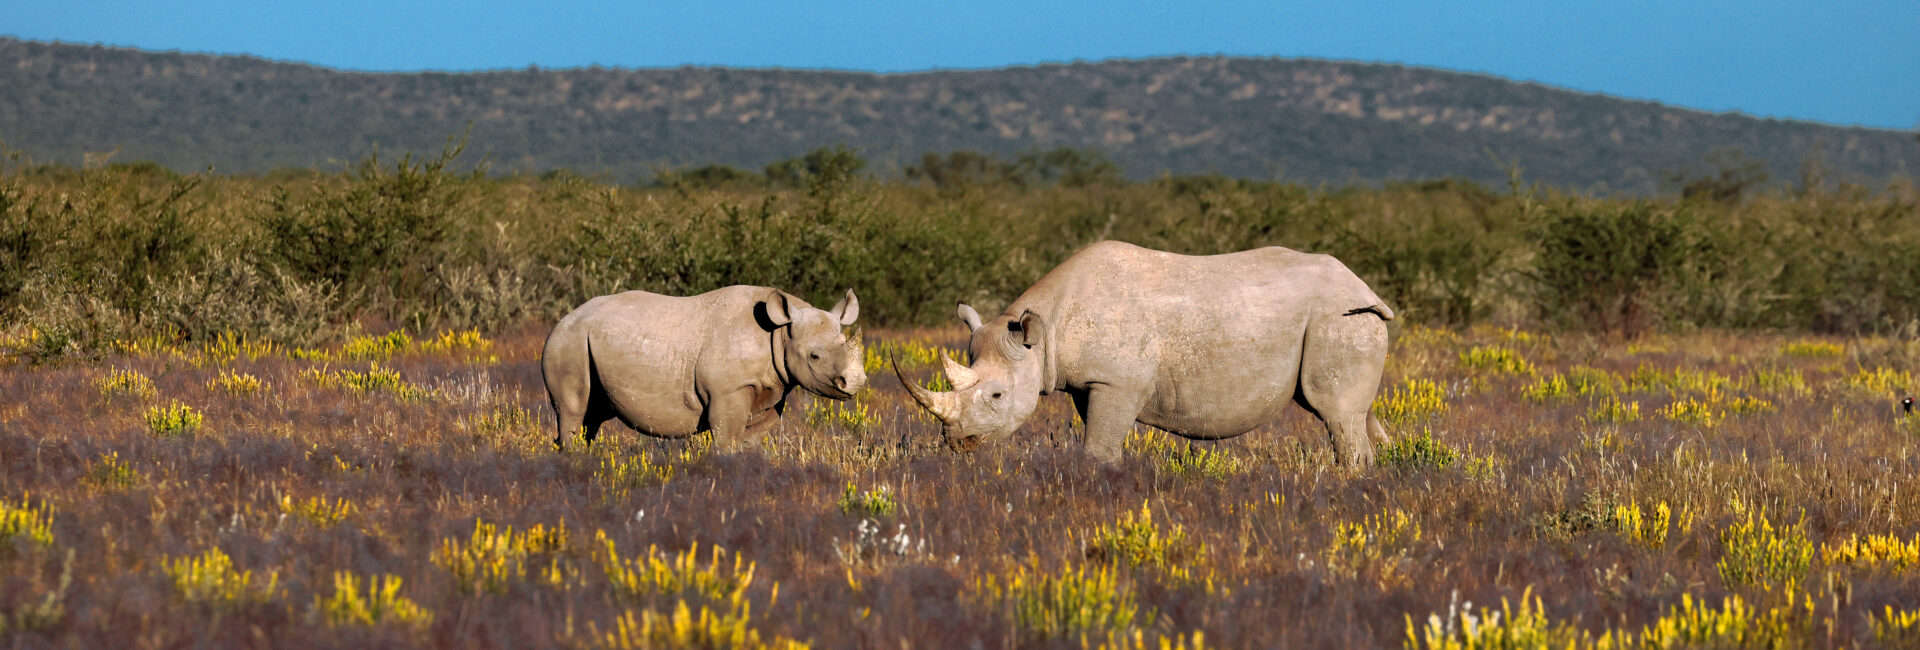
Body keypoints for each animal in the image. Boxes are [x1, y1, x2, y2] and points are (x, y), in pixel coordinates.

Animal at [545, 287, 867, 450]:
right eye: (814, 356)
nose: (854, 381)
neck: (779, 334)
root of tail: (564, 319)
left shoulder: (772, 389)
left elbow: (751, 439)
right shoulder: (728, 391)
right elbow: (726, 440)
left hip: (583, 340)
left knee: (592, 417)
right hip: (568, 341)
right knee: (573, 410)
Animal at [898, 241, 1397, 465]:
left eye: (997, 396)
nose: (958, 442)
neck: (1044, 334)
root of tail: (1364, 288)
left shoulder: (1117, 380)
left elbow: (1098, 445)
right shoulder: (1091, 383)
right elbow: (1102, 437)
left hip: (1336, 317)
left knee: (1336, 414)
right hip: (1345, 320)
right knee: (1355, 412)